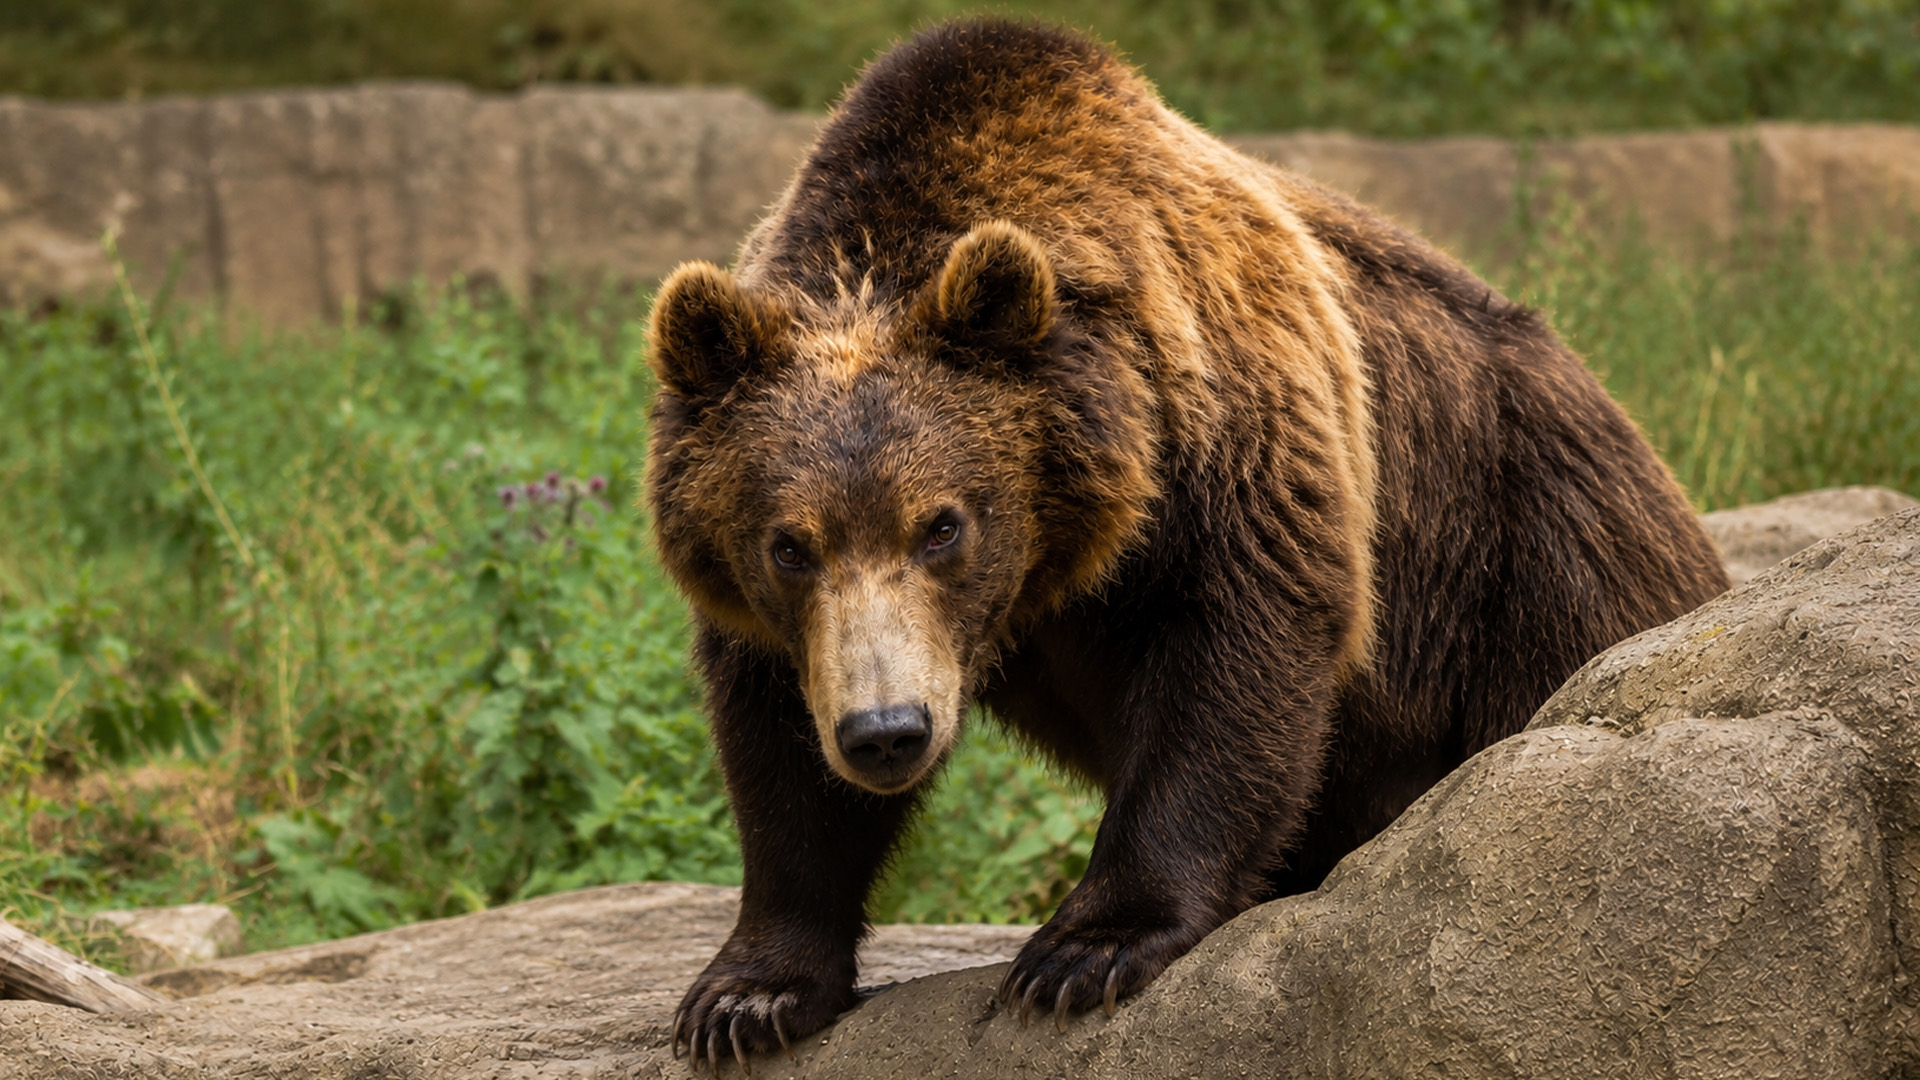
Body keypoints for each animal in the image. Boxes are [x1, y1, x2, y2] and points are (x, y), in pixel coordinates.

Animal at [645, 18, 1730, 1073]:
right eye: (790, 545)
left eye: (943, 524)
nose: (887, 732)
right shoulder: (798, 624)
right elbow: (777, 748)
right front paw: (748, 996)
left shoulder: (1230, 425)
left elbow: (1237, 652)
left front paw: (1085, 949)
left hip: (1534, 550)